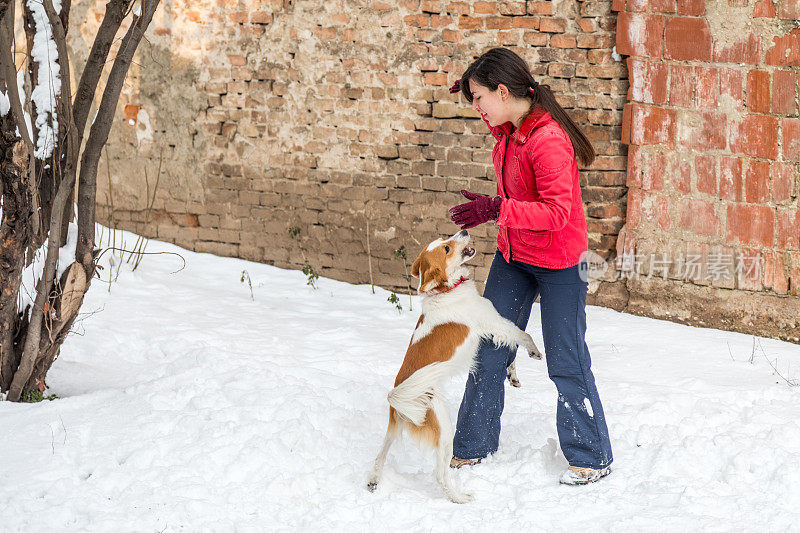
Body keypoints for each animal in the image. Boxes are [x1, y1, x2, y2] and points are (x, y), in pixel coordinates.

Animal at [368, 230, 544, 502]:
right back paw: (458, 498)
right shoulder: (494, 322)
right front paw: (534, 350)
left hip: (394, 430)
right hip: (443, 428)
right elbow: (522, 335)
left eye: (444, 241)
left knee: (380, 455)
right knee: (440, 475)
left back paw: (374, 480)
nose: (463, 230)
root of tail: (398, 391)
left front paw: (512, 373)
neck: (447, 289)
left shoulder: (495, 327)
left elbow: (511, 351)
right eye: (447, 249)